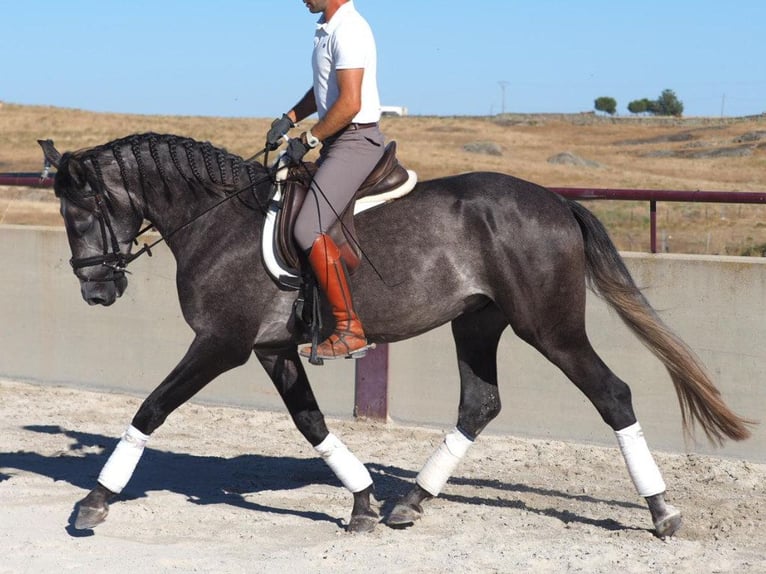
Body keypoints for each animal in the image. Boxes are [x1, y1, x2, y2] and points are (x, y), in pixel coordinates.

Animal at [39, 134, 752, 540]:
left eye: (81, 211)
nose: (96, 290)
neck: (216, 222)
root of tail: (556, 200)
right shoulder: (272, 349)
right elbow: (311, 424)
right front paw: (361, 502)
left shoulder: (223, 343)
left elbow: (150, 409)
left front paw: (93, 503)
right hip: (477, 320)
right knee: (480, 403)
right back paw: (410, 501)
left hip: (548, 327)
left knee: (613, 394)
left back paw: (661, 512)